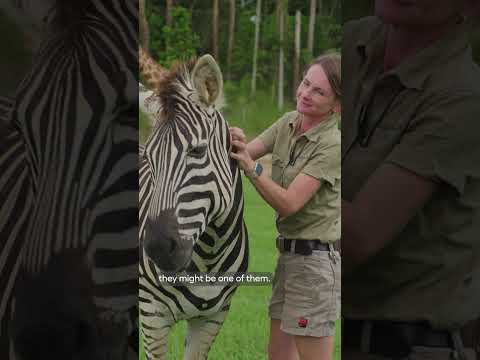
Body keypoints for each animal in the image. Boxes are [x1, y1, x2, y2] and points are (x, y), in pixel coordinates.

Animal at [139, 48, 249, 360]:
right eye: (149, 158)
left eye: (198, 151)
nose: (157, 248)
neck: (210, 253)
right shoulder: (152, 316)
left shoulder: (212, 318)